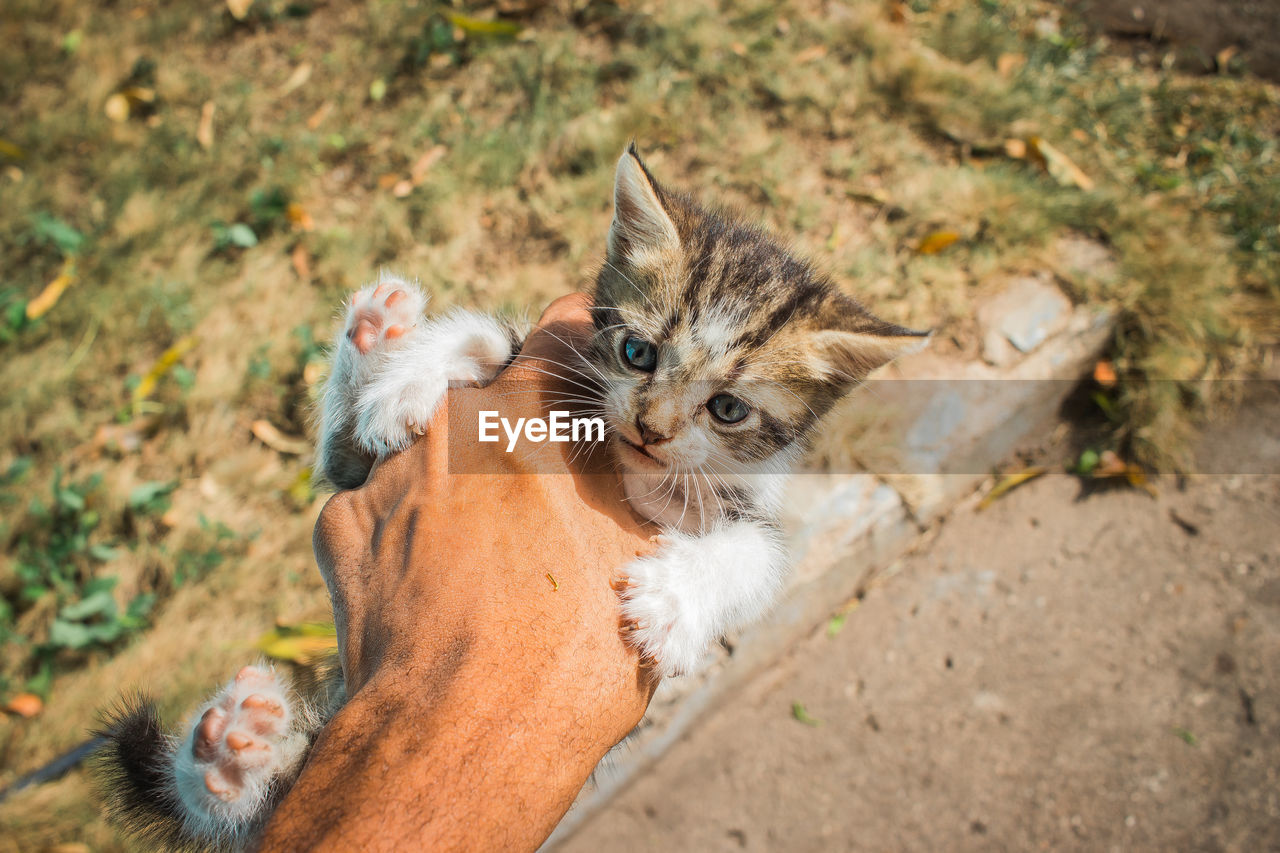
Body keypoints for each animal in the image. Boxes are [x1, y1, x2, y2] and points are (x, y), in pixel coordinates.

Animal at [94, 144, 926, 845]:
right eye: (637, 351)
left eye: (728, 408)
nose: (651, 429)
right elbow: (481, 347)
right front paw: (409, 375)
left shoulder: (753, 495)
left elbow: (757, 551)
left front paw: (676, 600)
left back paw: (235, 758)